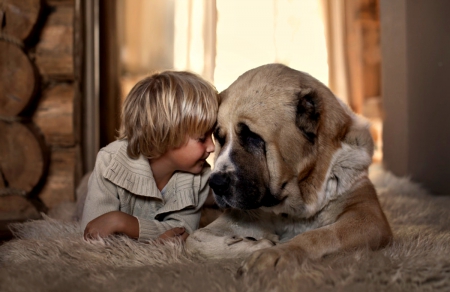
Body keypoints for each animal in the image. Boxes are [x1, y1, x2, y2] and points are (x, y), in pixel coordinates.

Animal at [185, 62, 392, 274]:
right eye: (219, 138)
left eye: (252, 136)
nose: (215, 183)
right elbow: (193, 240)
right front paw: (259, 244)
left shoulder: (368, 216)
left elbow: (321, 235)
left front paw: (277, 252)